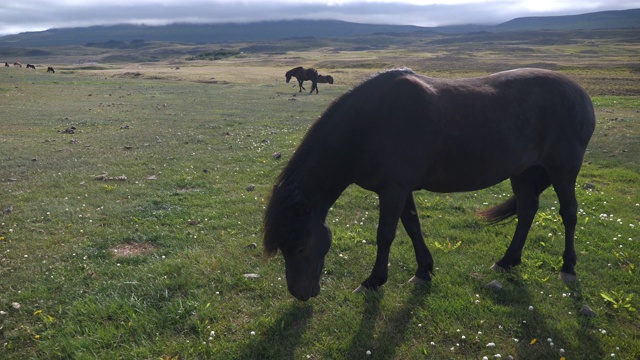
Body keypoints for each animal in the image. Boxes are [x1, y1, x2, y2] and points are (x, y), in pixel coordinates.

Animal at [264, 67, 596, 300]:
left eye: (301, 246)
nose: (301, 294)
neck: (369, 125)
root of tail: (581, 93)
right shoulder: (399, 189)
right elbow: (413, 227)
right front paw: (423, 270)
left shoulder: (393, 191)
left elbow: (385, 235)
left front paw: (373, 281)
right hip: (524, 172)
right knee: (527, 211)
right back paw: (507, 260)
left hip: (563, 171)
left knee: (569, 214)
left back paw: (568, 267)